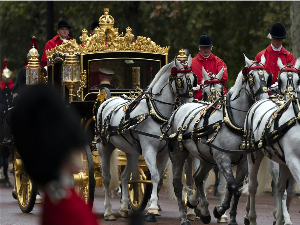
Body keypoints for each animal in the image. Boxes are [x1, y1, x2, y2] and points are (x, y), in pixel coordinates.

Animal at [95, 55, 196, 220]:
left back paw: (123, 208)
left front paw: (153, 206)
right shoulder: (149, 149)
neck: (156, 113)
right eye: (180, 80)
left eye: (194, 79)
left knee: (124, 177)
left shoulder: (164, 153)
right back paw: (108, 211)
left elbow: (159, 178)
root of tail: (107, 101)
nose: (190, 104)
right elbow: (154, 175)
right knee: (106, 178)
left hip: (132, 152)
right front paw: (153, 208)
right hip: (103, 147)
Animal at [165, 54, 270, 225]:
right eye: (251, 78)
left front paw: (231, 217)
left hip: (206, 158)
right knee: (177, 183)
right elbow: (232, 186)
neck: (234, 121)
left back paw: (204, 211)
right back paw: (184, 216)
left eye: (267, 77)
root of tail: (180, 107)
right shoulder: (222, 158)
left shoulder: (242, 162)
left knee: (198, 178)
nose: (264, 99)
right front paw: (220, 210)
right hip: (178, 155)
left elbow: (237, 188)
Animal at [244, 57, 300, 225]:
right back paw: (251, 217)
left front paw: (283, 217)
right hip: (254, 155)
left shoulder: (288, 161)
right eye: (280, 81)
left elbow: (290, 190)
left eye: (298, 80)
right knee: (253, 185)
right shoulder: (292, 160)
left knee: (280, 187)